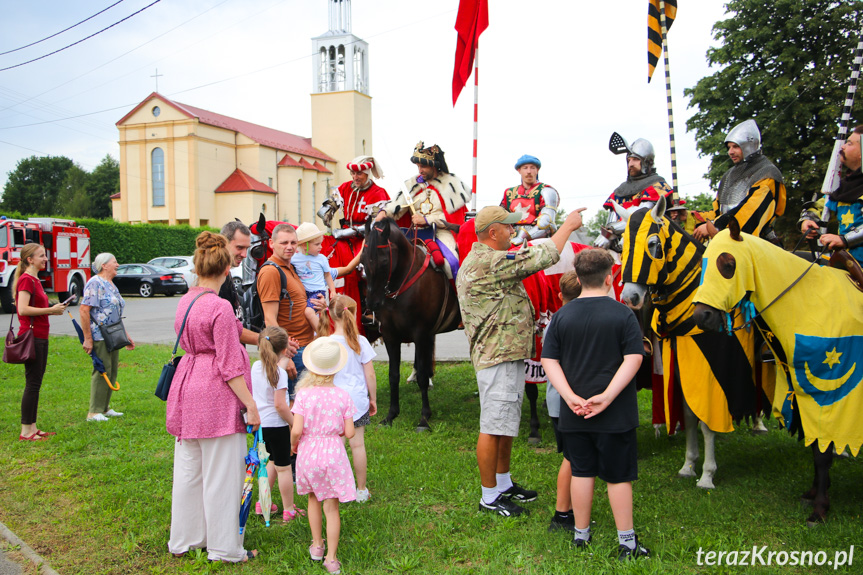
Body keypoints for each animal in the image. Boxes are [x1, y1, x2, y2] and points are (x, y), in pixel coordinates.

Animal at [362, 218, 462, 430]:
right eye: (363, 261)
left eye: (385, 261)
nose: (372, 303)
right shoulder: (390, 336)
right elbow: (393, 375)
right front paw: (391, 415)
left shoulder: (421, 334)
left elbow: (423, 376)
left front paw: (424, 418)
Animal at [616, 196, 772, 488]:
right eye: (622, 245)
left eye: (653, 244)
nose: (630, 297)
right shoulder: (679, 366)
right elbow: (689, 416)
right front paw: (688, 465)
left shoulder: (709, 370)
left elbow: (707, 422)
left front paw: (707, 474)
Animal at [692, 225, 863, 528]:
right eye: (703, 264)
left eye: (728, 264)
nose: (702, 316)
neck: (807, 306)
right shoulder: (802, 394)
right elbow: (816, 447)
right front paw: (815, 493)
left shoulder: (829, 399)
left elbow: (822, 452)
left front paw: (820, 508)